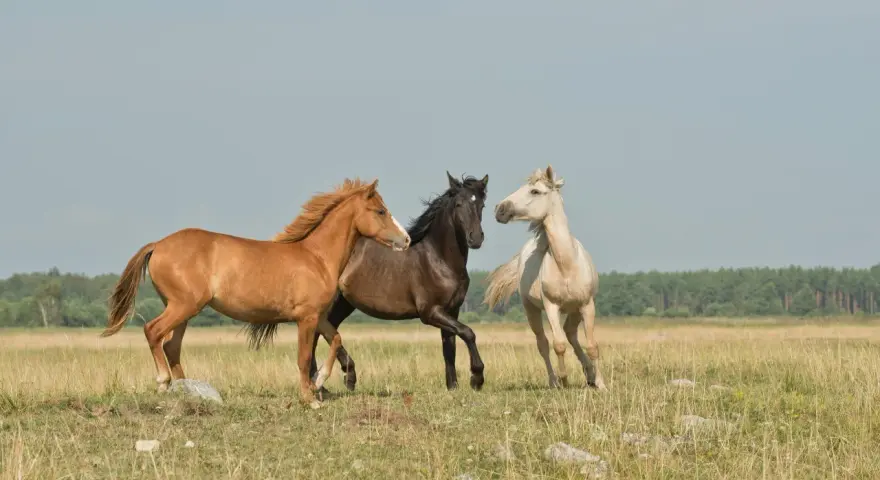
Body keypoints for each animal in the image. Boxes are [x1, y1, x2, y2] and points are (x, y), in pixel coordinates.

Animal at [100, 178, 411, 408]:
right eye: (380, 211)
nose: (406, 240)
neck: (317, 258)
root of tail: (159, 244)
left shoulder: (319, 316)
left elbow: (335, 340)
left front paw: (319, 382)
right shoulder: (306, 318)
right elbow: (303, 358)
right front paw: (309, 398)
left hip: (183, 310)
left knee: (171, 346)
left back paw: (188, 390)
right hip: (182, 306)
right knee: (153, 332)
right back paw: (164, 383)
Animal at [308, 172, 489, 392]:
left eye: (481, 204)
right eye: (459, 204)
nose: (476, 238)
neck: (439, 259)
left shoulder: (451, 310)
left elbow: (449, 347)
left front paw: (452, 386)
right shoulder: (430, 312)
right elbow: (468, 333)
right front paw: (476, 378)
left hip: (344, 302)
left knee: (324, 330)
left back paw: (330, 381)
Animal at [484, 165, 606, 390]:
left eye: (535, 191)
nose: (500, 209)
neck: (567, 265)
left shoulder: (587, 305)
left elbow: (592, 345)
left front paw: (601, 384)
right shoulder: (551, 306)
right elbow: (558, 345)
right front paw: (564, 380)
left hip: (575, 310)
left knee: (571, 333)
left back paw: (589, 374)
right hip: (531, 309)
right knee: (543, 343)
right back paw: (554, 381)